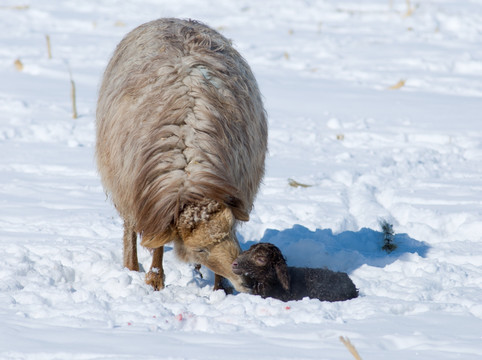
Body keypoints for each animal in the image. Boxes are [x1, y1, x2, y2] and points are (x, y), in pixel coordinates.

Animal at [95, 18, 268, 292]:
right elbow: (156, 245)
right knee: (130, 228)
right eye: (200, 250)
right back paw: (131, 267)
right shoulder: (152, 202)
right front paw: (154, 280)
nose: (246, 280)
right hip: (124, 185)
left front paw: (220, 289)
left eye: (232, 232)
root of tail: (172, 18)